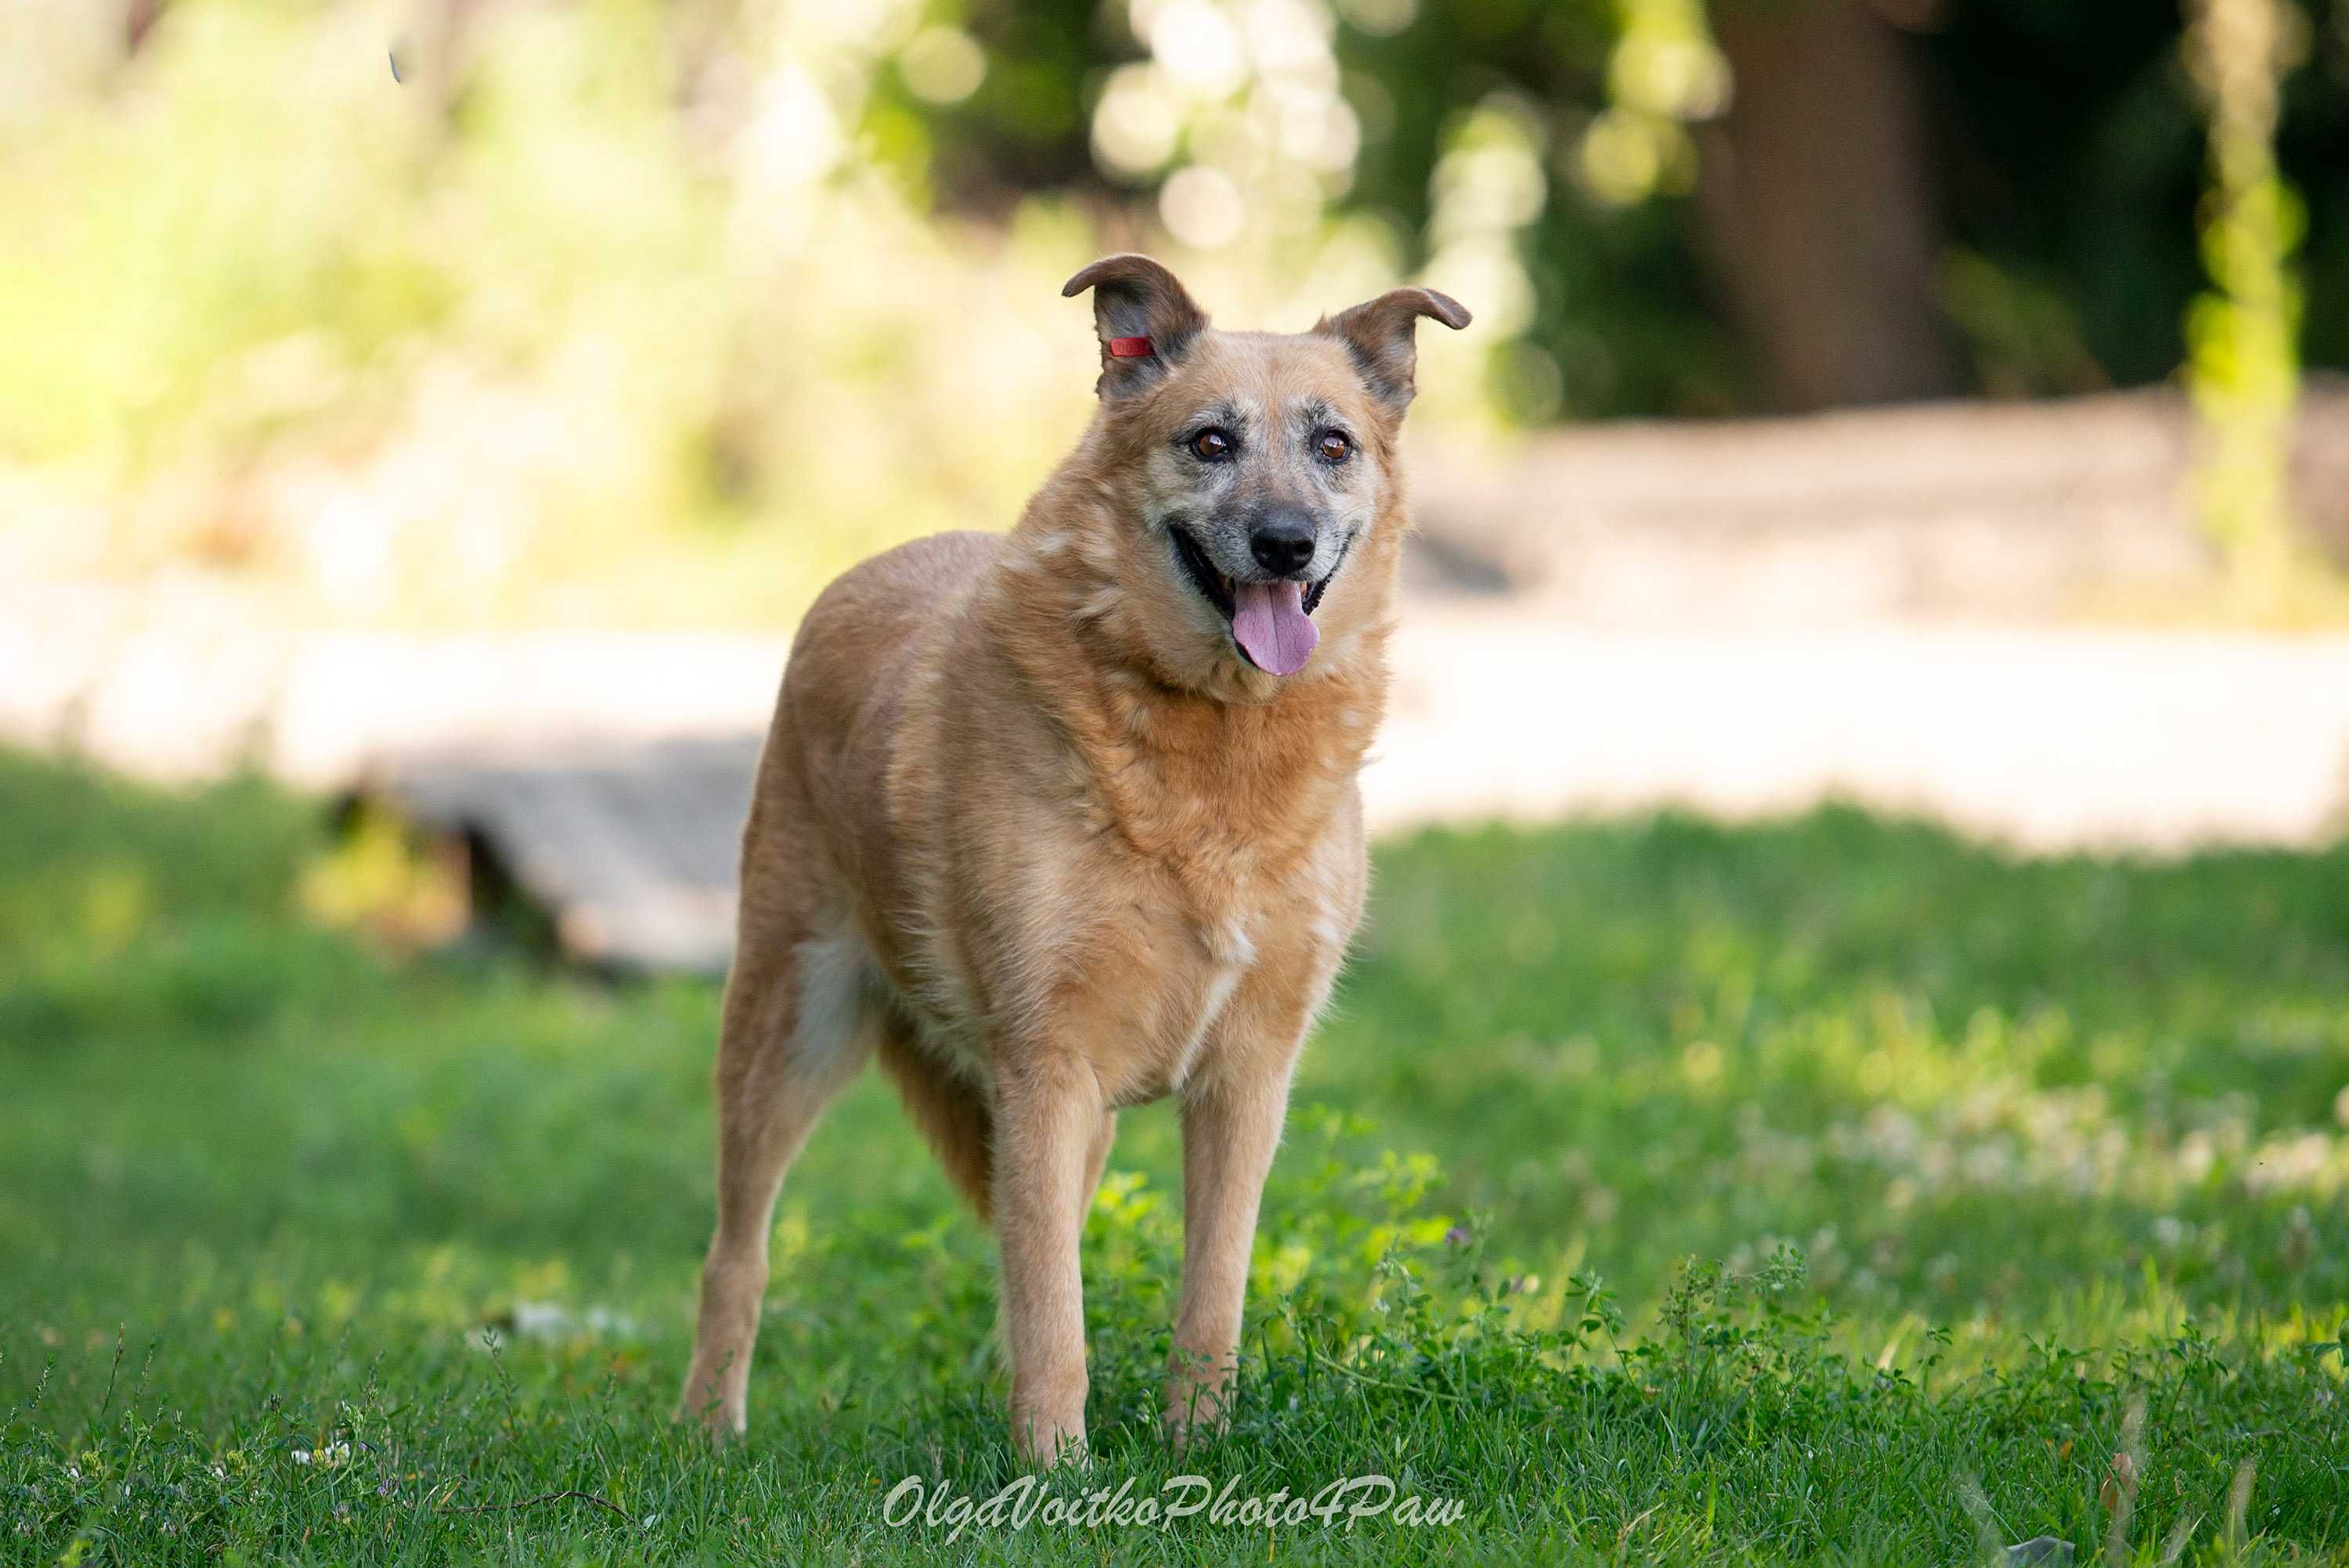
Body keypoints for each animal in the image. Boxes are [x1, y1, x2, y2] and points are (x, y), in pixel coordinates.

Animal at [672, 251, 1466, 1465]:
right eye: (1209, 441)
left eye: (1333, 444)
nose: (1284, 542)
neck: (1215, 747)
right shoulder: (1046, 1066)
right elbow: (1054, 1303)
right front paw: (1053, 1470)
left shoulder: (1245, 1080)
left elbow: (1207, 1290)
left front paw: (1195, 1447)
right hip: (788, 1028)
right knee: (739, 1249)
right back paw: (710, 1427)